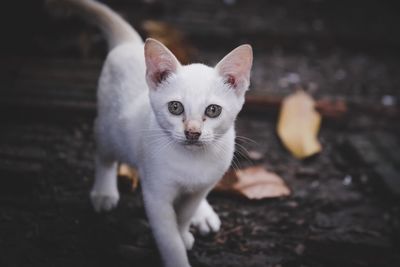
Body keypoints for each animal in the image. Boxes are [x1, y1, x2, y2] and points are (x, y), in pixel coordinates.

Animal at [50, 1, 253, 266]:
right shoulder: (156, 195)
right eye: (175, 107)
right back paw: (104, 192)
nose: (192, 132)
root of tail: (129, 44)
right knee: (104, 155)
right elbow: (168, 240)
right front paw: (178, 252)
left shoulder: (200, 188)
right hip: (109, 129)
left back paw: (204, 214)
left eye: (213, 110)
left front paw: (185, 231)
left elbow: (184, 214)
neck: (193, 163)